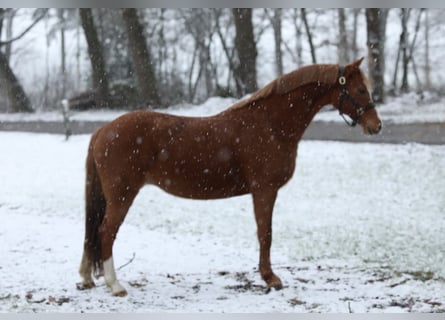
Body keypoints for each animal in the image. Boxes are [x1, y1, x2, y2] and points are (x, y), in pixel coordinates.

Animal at [77, 57, 382, 296]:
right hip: (122, 195)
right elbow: (265, 234)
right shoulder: (265, 190)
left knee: (93, 231)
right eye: (360, 89)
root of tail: (103, 130)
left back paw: (86, 278)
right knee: (105, 231)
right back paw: (115, 285)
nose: (376, 126)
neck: (270, 124)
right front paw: (271, 279)